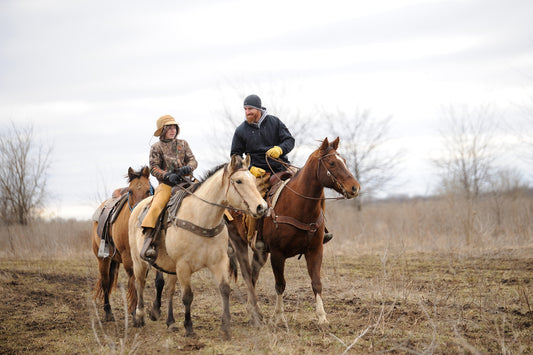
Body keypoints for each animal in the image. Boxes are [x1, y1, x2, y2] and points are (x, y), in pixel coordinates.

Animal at [92, 167, 164, 322]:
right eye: (130, 191)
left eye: (148, 190)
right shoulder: (128, 257)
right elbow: (134, 281)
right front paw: (134, 313)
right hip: (103, 260)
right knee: (105, 282)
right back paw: (108, 312)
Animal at [127, 156, 268, 340]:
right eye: (239, 181)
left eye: (253, 179)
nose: (262, 207)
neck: (201, 218)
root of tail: (137, 207)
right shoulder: (183, 266)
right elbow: (187, 296)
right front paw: (189, 328)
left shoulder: (219, 262)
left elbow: (224, 289)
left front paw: (225, 328)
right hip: (139, 261)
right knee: (140, 284)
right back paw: (139, 317)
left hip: (170, 267)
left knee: (169, 290)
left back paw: (171, 322)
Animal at [227, 138, 360, 330]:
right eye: (332, 163)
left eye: (344, 161)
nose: (355, 188)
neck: (300, 207)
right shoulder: (277, 254)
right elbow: (280, 285)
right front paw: (278, 317)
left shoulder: (315, 250)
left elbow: (316, 283)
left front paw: (322, 318)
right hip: (238, 242)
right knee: (247, 274)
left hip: (260, 252)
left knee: (253, 275)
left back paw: (254, 310)